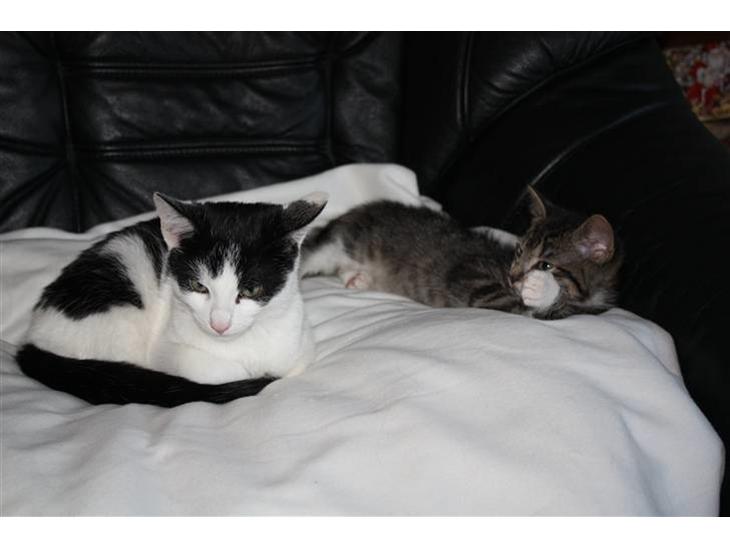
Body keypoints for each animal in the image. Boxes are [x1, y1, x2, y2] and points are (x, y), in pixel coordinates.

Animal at [15, 191, 328, 407]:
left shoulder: (300, 344)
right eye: (198, 286)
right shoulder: (164, 350)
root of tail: (32, 337)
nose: (219, 324)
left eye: (250, 290)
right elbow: (218, 371)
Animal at [300, 187, 622, 319]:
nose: (514, 276)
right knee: (310, 254)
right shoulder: (474, 278)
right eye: (519, 251)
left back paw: (359, 278)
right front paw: (542, 291)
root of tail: (356, 212)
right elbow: (521, 307)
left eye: (545, 264)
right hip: (347, 239)